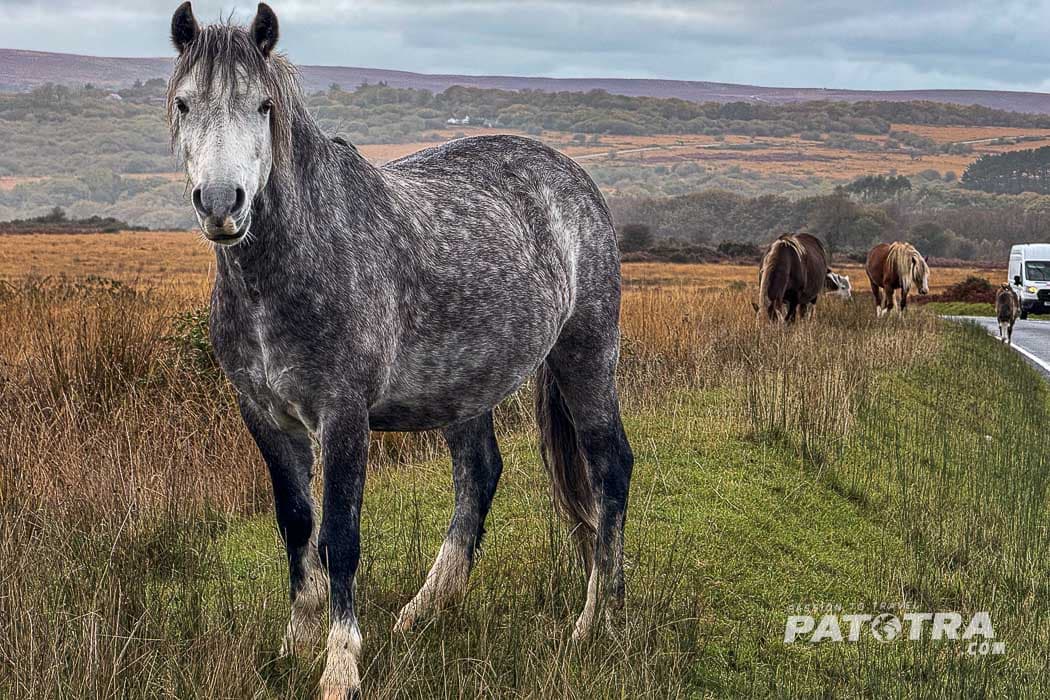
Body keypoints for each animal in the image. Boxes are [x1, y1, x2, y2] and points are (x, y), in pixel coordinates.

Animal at [167, 4, 634, 697]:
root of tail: (573, 178)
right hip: (466, 385)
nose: (223, 204)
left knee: (609, 469)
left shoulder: (343, 417)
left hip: (586, 356)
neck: (293, 265)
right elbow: (297, 526)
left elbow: (339, 536)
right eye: (184, 102)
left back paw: (597, 619)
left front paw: (339, 666)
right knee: (479, 475)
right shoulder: (265, 418)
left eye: (263, 106)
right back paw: (424, 611)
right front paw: (294, 647)